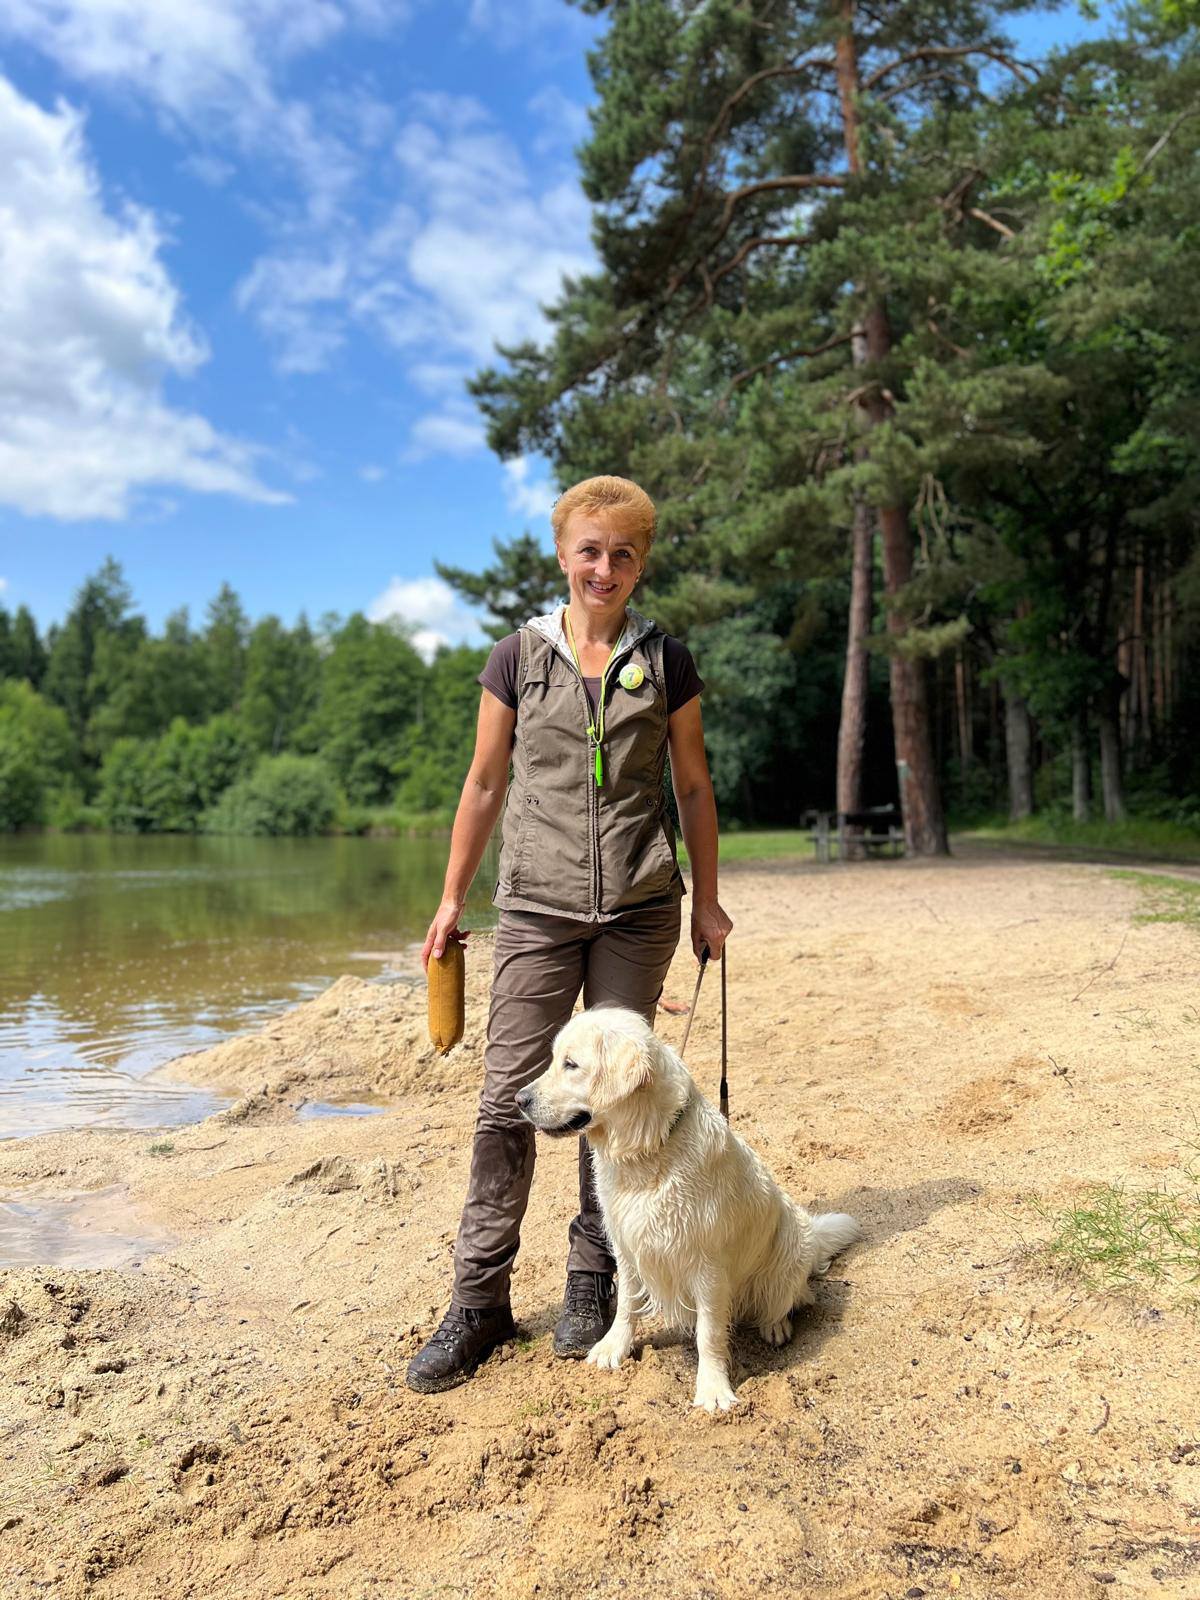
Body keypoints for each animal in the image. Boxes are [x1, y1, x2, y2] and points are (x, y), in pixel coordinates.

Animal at [515, 1006, 861, 1412]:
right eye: (554, 1059)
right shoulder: (628, 1245)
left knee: (793, 1296)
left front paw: (712, 1389)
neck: (648, 1148)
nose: (519, 1099)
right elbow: (627, 1304)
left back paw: (775, 1324)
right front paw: (614, 1347)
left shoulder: (707, 1263)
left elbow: (708, 1333)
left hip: (791, 1249)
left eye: (571, 1064)